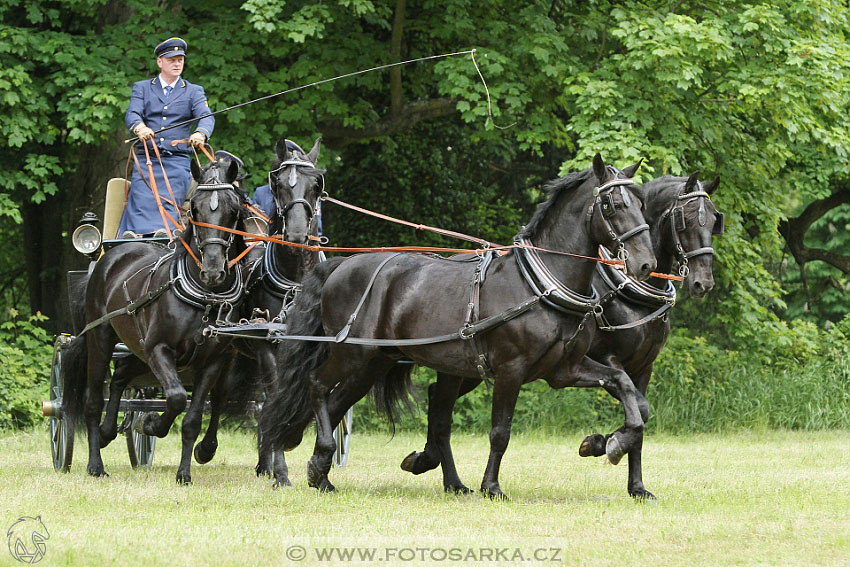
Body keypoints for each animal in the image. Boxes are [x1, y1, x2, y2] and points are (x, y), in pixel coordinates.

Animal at [63, 159, 248, 484]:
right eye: (195, 209)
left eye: (234, 209)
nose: (213, 270)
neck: (204, 297)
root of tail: (114, 253)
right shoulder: (160, 349)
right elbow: (175, 398)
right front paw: (150, 424)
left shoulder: (212, 361)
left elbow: (192, 418)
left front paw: (184, 473)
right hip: (102, 340)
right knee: (93, 400)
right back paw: (96, 464)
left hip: (139, 350)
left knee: (122, 376)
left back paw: (108, 431)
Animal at [190, 136, 322, 484]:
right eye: (278, 182)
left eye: (316, 184)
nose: (297, 234)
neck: (294, 281)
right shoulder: (268, 350)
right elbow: (275, 396)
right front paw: (282, 472)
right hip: (231, 352)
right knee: (222, 396)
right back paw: (209, 449)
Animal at [262, 154, 660, 496]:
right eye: (611, 205)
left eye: (641, 204)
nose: (646, 263)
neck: (540, 283)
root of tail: (340, 266)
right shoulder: (511, 370)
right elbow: (500, 431)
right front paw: (492, 487)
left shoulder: (565, 370)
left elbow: (624, 387)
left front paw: (611, 443)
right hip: (352, 355)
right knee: (316, 387)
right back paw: (314, 464)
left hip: (374, 363)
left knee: (334, 406)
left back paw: (321, 473)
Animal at [400, 172, 720, 496]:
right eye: (685, 219)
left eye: (714, 221)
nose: (703, 282)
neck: (626, 290)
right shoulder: (606, 357)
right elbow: (640, 408)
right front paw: (600, 443)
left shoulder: (643, 367)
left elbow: (640, 415)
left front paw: (637, 486)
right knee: (440, 405)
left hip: (470, 368)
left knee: (437, 400)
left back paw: (434, 467)